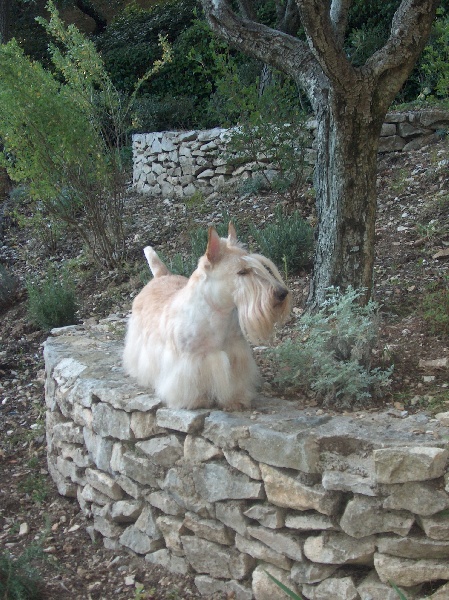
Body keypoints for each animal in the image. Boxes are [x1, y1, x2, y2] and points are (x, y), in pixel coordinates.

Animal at [122, 223, 290, 410]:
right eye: (242, 272)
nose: (282, 293)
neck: (219, 313)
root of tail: (160, 276)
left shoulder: (235, 353)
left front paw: (236, 399)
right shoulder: (188, 360)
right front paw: (195, 401)